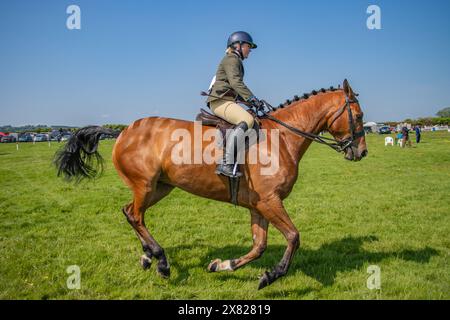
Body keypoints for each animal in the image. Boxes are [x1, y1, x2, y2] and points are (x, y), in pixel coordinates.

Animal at [54, 79, 368, 288]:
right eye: (359, 116)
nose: (362, 152)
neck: (282, 138)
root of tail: (122, 132)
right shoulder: (270, 201)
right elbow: (293, 237)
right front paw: (270, 276)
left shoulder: (259, 205)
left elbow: (259, 246)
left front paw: (222, 265)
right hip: (145, 185)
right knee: (135, 215)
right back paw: (161, 261)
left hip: (160, 187)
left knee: (129, 212)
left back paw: (148, 257)